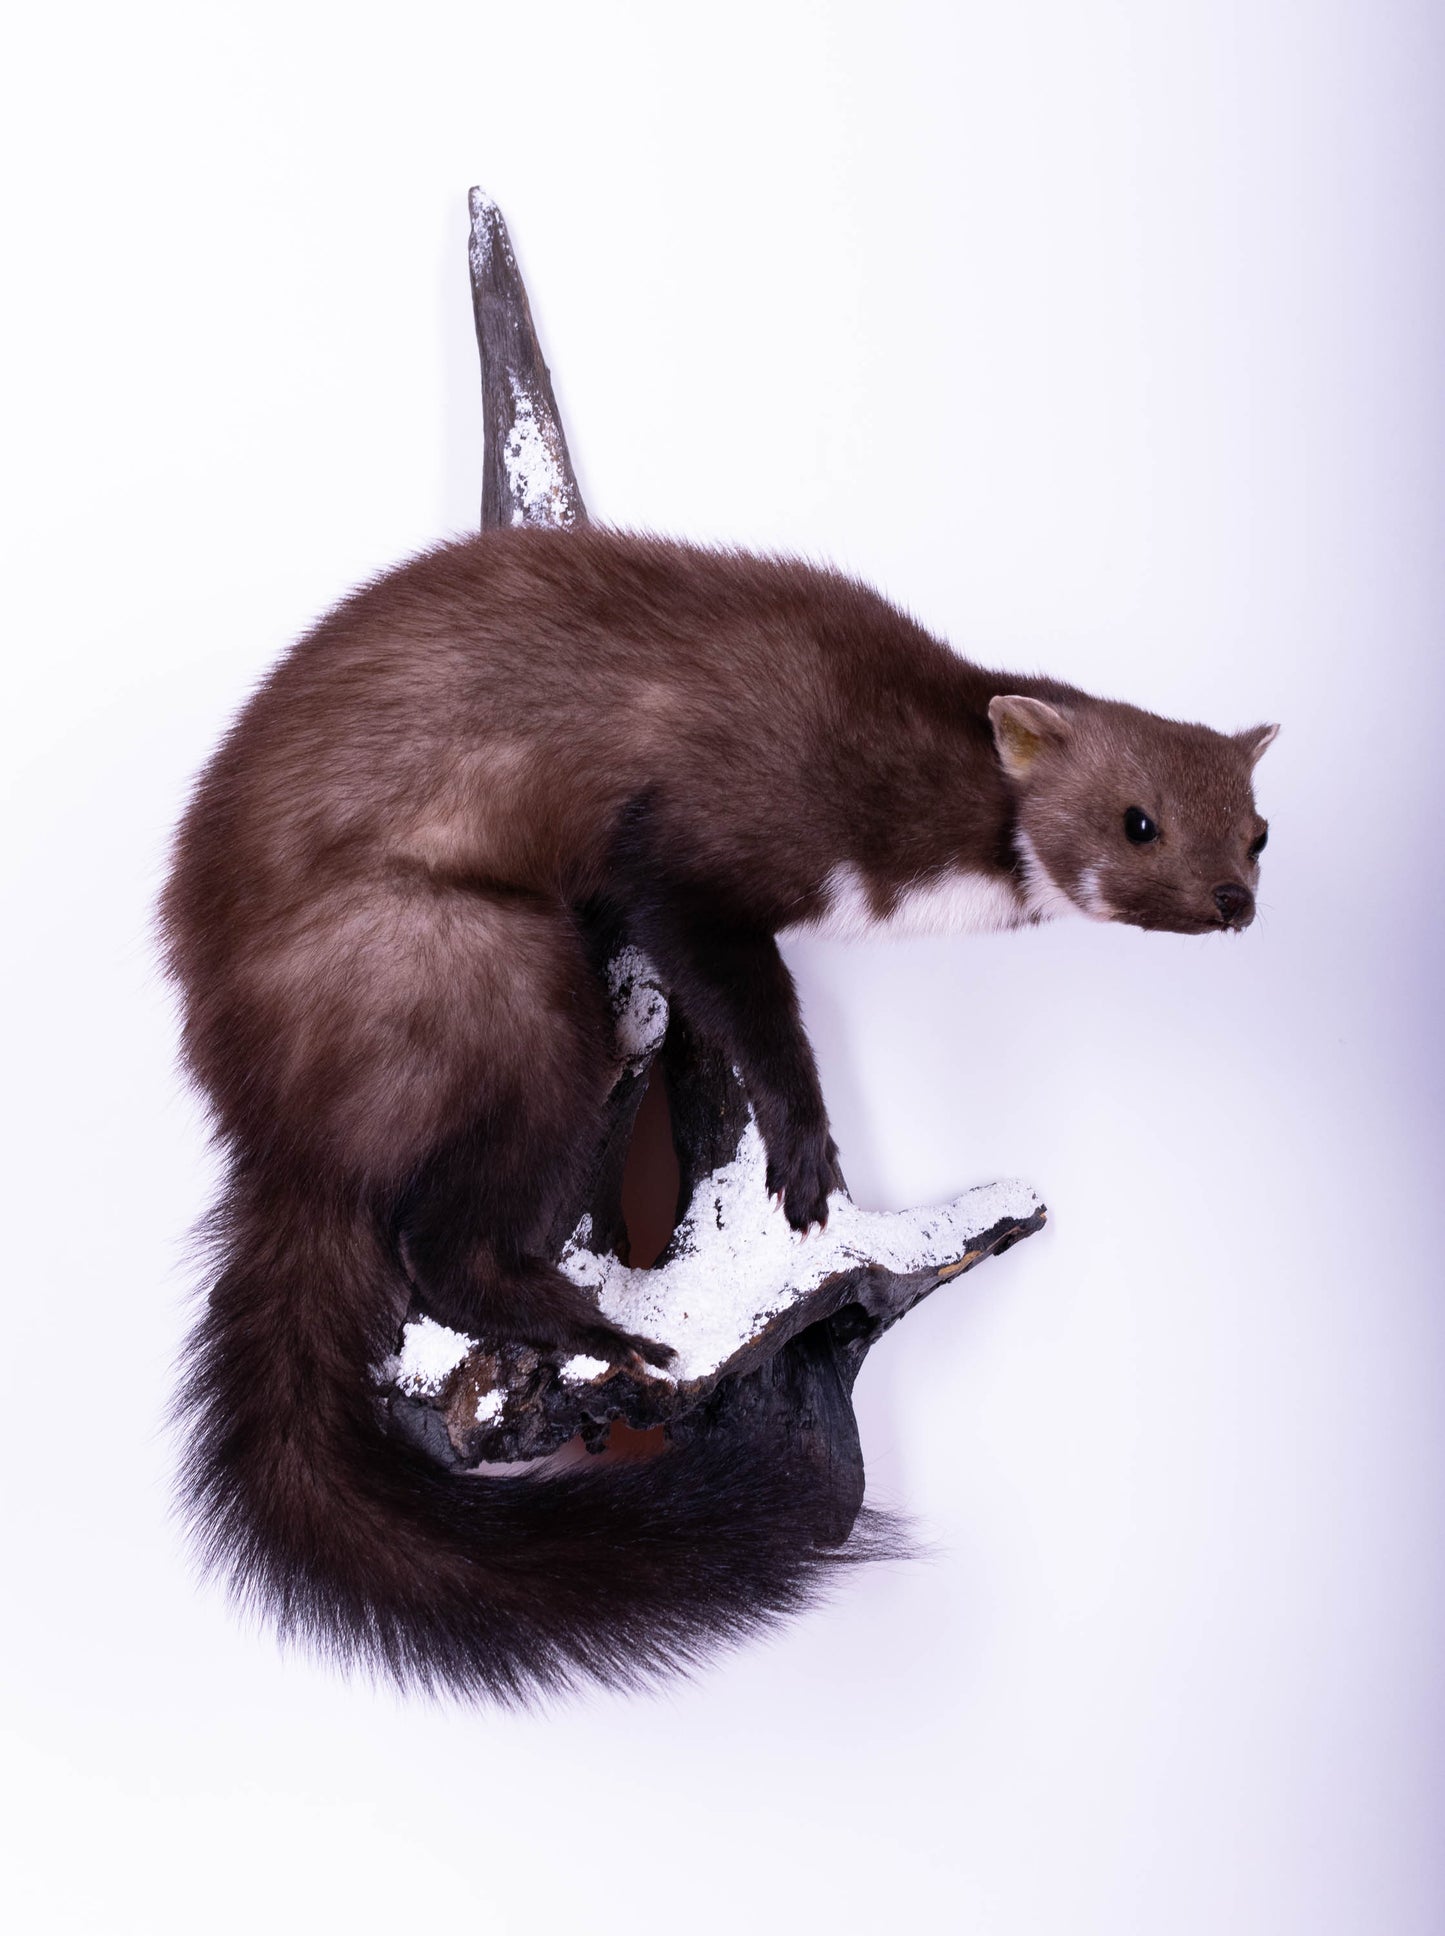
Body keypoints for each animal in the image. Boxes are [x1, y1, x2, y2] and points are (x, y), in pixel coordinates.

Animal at [161, 524, 1277, 1701]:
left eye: (1255, 831)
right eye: (1138, 821)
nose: (1230, 902)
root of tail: (263, 1103)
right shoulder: (700, 839)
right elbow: (743, 992)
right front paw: (802, 1151)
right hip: (493, 967)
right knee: (441, 1241)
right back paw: (598, 1325)